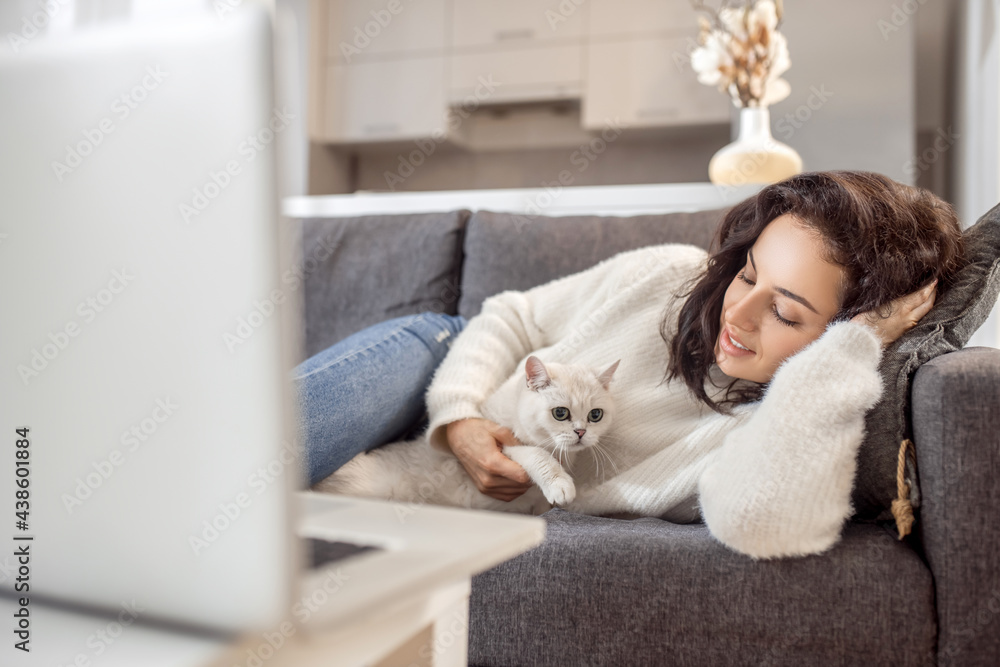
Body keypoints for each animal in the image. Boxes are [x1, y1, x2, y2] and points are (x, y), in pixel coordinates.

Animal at [312, 354, 620, 516]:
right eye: (560, 413)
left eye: (595, 415)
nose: (580, 432)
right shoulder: (505, 444)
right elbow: (538, 455)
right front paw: (560, 484)